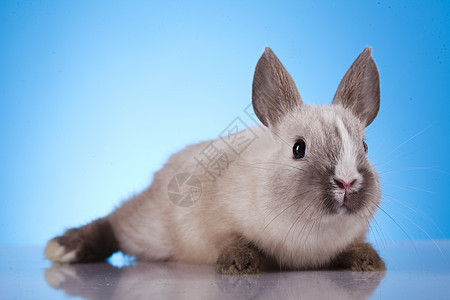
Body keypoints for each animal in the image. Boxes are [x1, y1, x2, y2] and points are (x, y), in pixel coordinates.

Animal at [45, 47, 384, 274]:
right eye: (298, 148)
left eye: (365, 146)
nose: (346, 181)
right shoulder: (215, 221)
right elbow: (230, 239)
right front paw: (239, 264)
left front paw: (368, 261)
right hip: (147, 228)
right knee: (114, 223)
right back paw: (63, 247)